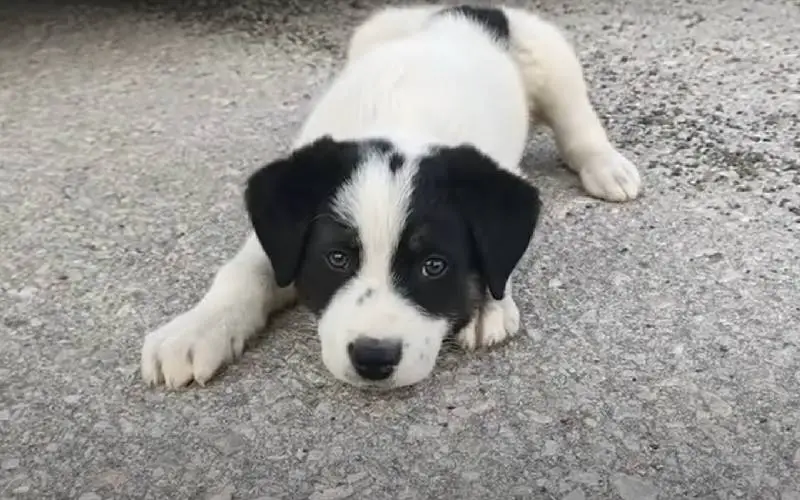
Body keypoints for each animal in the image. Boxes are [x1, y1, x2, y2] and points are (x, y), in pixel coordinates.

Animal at [141, 4, 640, 390]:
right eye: (337, 259)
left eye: (434, 266)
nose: (373, 359)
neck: (402, 120)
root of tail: (466, 12)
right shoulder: (280, 233)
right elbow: (244, 272)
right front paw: (195, 329)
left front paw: (486, 304)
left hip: (552, 58)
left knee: (578, 124)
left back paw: (607, 167)